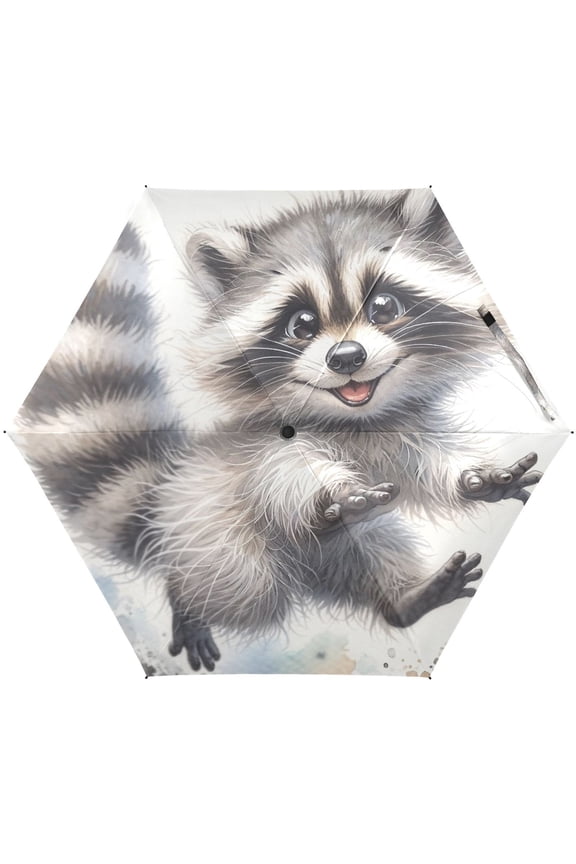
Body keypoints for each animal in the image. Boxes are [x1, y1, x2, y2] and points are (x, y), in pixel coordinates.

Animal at [14, 190, 541, 672]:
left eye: (384, 307)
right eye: (301, 324)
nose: (346, 358)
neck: (358, 420)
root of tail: (165, 500)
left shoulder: (407, 428)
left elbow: (430, 463)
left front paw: (473, 479)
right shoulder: (268, 448)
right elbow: (284, 479)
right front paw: (334, 494)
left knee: (375, 549)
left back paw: (404, 600)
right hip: (214, 529)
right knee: (241, 588)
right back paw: (187, 600)